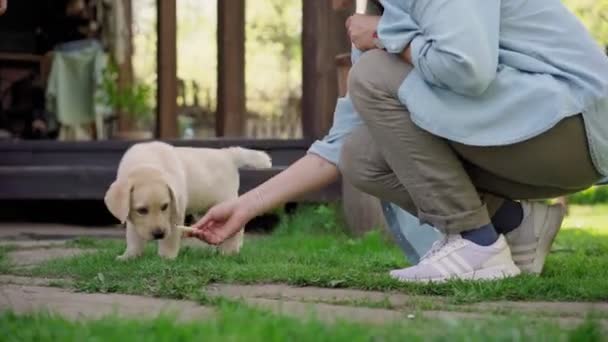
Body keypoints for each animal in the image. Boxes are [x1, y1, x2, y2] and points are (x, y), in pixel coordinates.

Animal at [104, 140, 270, 260]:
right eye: (142, 210)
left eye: (165, 206)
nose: (159, 234)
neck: (146, 163)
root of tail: (228, 154)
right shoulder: (133, 220)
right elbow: (134, 239)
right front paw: (129, 256)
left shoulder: (175, 214)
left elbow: (170, 239)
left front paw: (166, 257)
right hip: (205, 209)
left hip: (225, 201)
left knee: (236, 229)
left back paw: (229, 251)